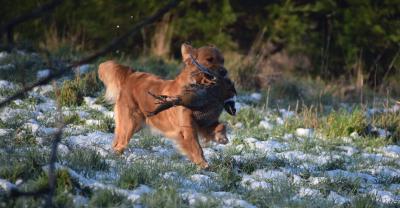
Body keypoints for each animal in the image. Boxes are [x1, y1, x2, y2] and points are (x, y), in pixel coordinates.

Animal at [97, 43, 231, 168]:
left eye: (223, 60)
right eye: (209, 59)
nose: (224, 72)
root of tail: (132, 74)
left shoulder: (204, 121)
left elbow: (220, 125)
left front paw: (221, 137)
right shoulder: (187, 128)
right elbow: (196, 147)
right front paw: (203, 164)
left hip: (137, 123)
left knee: (117, 140)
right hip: (131, 122)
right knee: (121, 142)